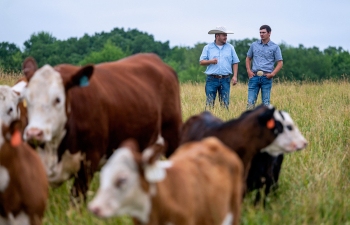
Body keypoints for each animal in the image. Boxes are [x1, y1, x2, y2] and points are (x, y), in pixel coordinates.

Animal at [21, 53, 183, 201]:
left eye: (58, 99)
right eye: (27, 99)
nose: (34, 133)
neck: (55, 149)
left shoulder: (89, 161)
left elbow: (76, 200)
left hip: (173, 137)